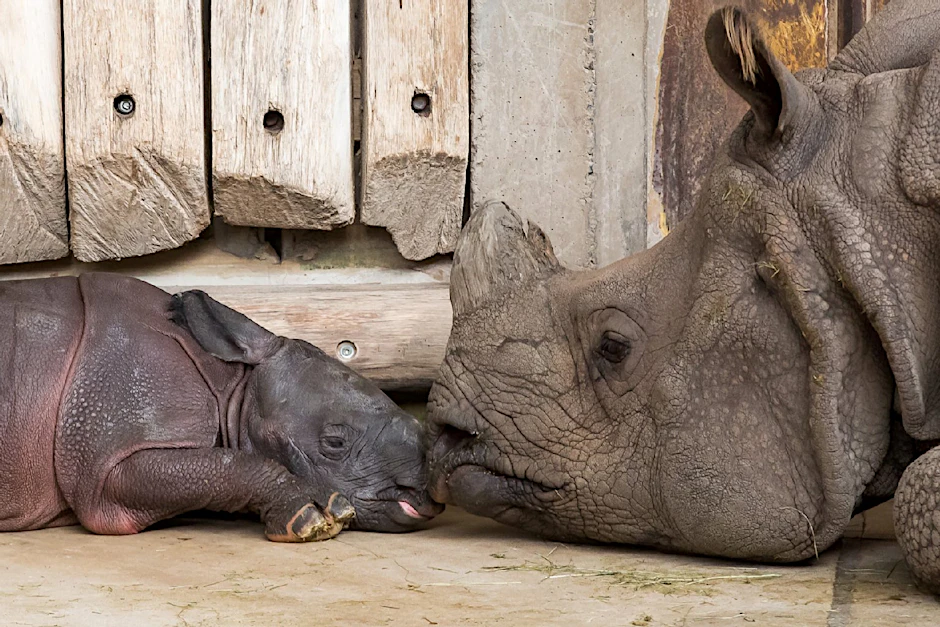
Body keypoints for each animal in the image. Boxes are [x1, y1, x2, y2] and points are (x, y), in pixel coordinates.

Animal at [0, 273, 441, 541]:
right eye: (335, 443)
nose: (424, 496)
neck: (235, 383)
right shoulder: (104, 458)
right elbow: (227, 464)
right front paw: (318, 513)